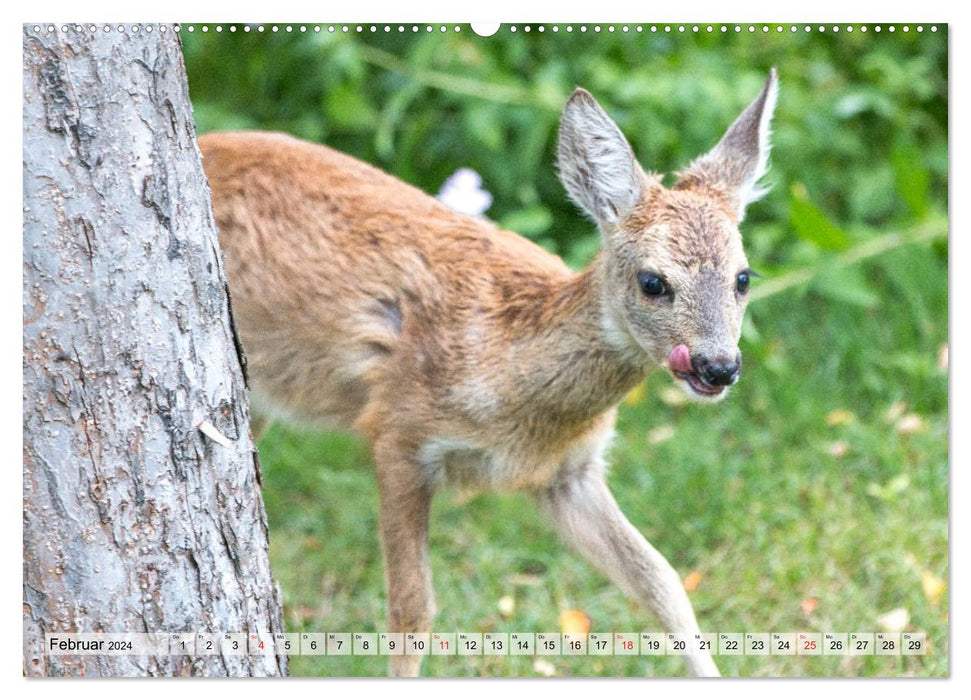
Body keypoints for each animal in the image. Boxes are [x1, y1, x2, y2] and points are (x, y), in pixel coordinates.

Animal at [199, 68, 784, 676]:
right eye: (653, 282)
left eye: (744, 277)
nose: (718, 366)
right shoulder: (398, 434)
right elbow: (411, 613)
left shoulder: (569, 474)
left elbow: (661, 582)